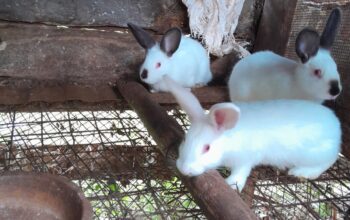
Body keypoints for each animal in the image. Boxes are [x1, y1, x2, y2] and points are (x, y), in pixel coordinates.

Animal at [159, 75, 342, 191]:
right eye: (185, 139)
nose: (184, 169)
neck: (228, 139)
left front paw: (232, 185)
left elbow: (241, 172)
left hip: (316, 154)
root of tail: (336, 125)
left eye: (207, 148)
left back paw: (301, 172)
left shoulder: (246, 159)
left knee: (327, 161)